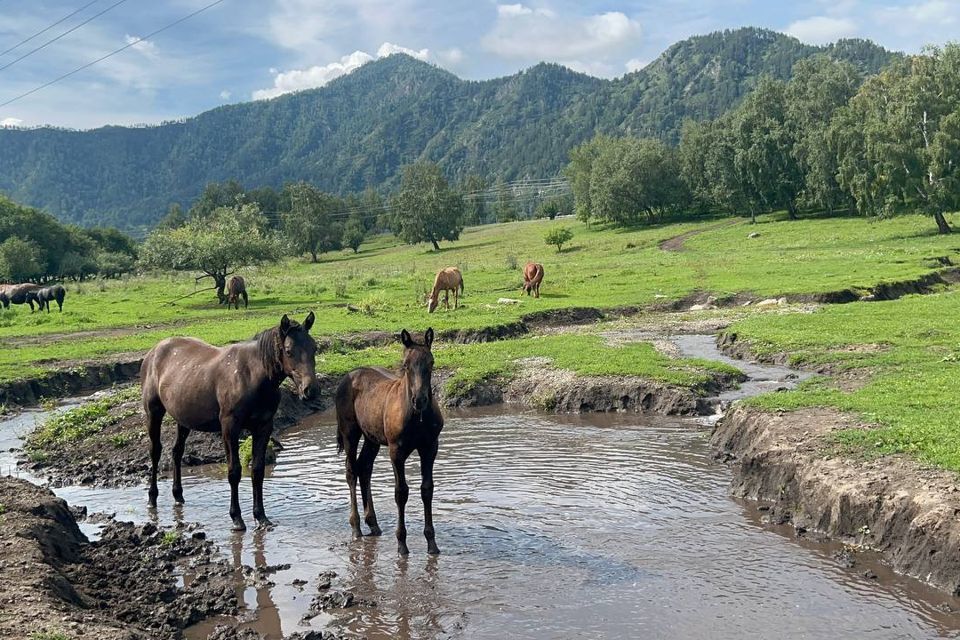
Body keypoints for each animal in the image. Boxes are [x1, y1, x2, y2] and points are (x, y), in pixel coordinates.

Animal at [141, 312, 318, 528]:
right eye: (289, 351)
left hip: (183, 418)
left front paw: (261, 516)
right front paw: (237, 518)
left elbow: (258, 470)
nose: (310, 390)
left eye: (314, 348)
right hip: (154, 412)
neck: (252, 376)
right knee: (155, 452)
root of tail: (154, 351)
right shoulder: (230, 427)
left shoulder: (264, 427)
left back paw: (178, 495)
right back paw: (152, 498)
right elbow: (234, 472)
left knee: (177, 452)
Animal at [336, 330, 444, 556]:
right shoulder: (396, 451)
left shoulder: (430, 447)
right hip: (350, 433)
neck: (416, 417)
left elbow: (427, 490)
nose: (419, 400)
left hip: (372, 438)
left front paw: (432, 544)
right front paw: (402, 544)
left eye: (431, 362)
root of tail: (348, 376)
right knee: (351, 471)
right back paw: (356, 527)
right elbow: (401, 492)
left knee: (364, 468)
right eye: (405, 364)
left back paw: (373, 524)